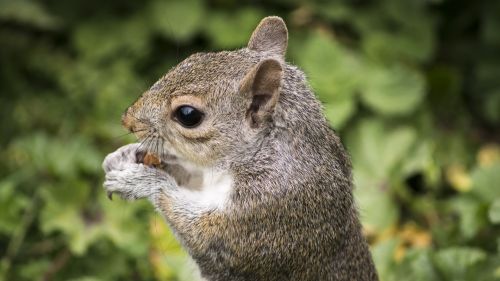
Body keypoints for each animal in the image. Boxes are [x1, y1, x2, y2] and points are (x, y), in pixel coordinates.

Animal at [101, 16, 376, 280]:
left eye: (188, 115)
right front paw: (126, 155)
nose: (128, 120)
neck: (256, 154)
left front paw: (140, 180)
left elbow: (199, 233)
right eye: (193, 57)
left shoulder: (262, 215)